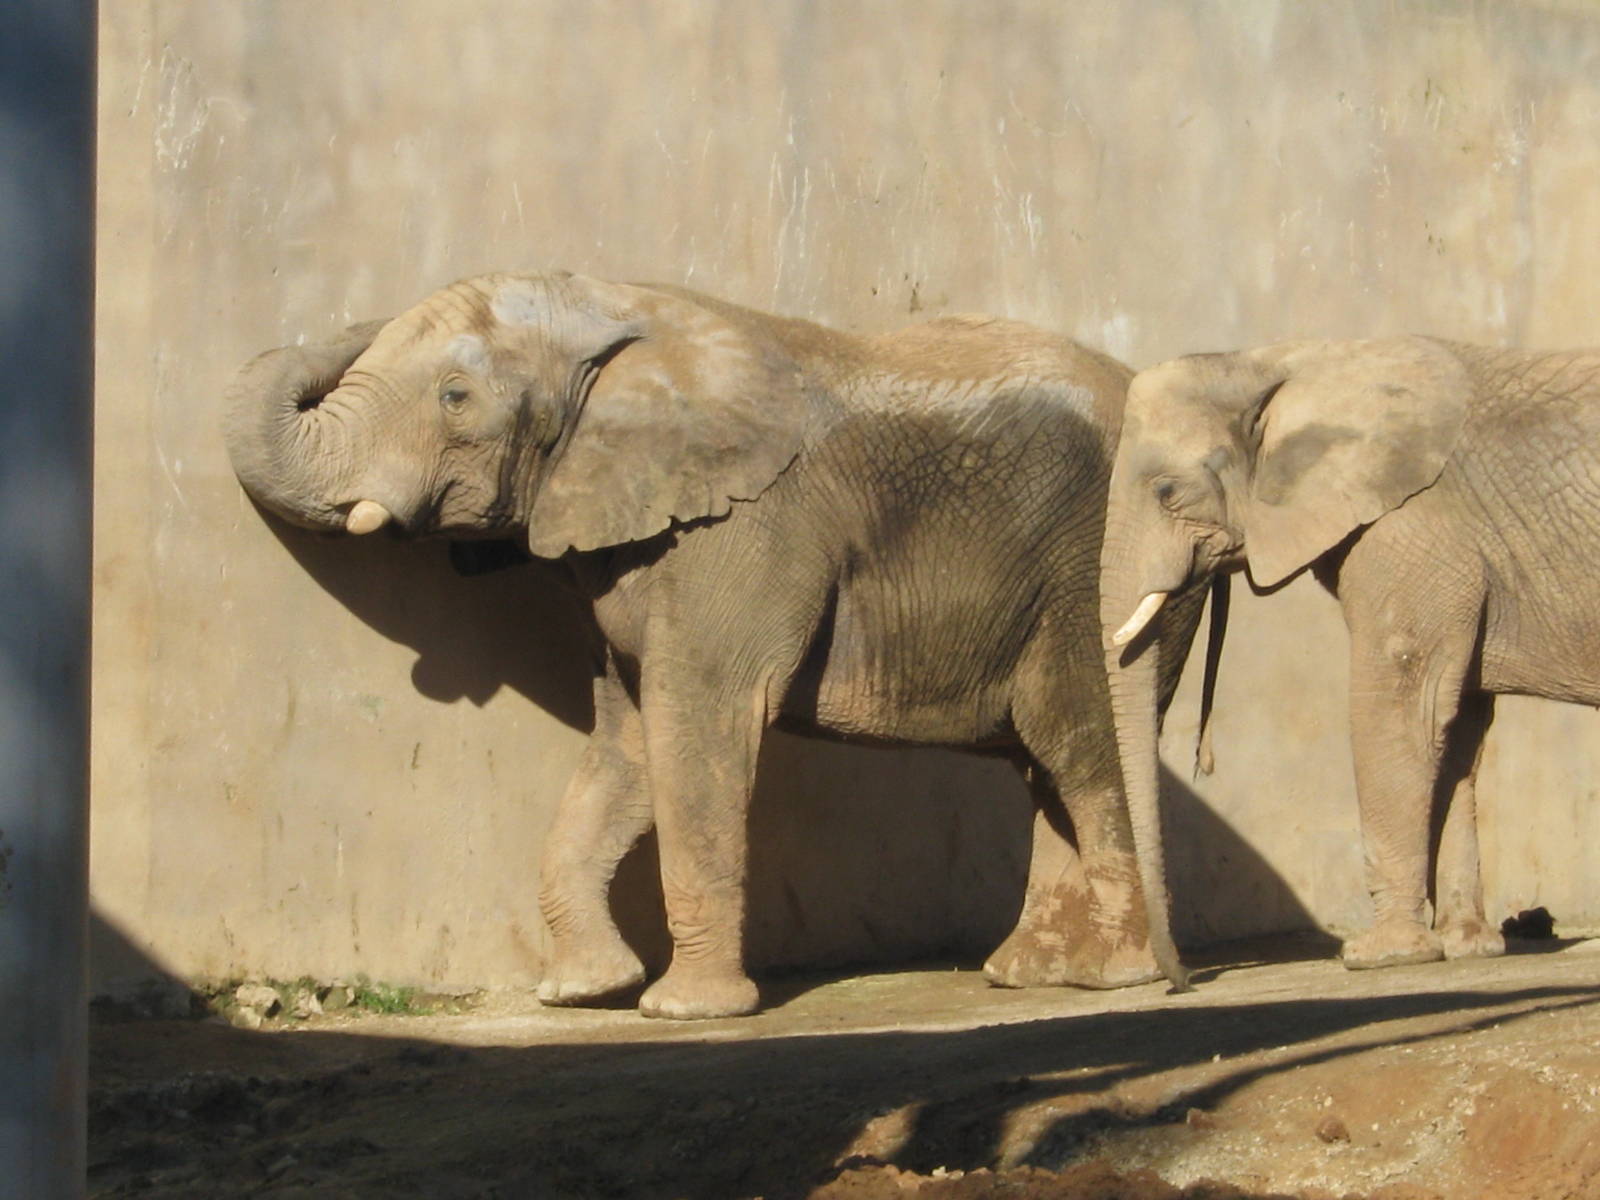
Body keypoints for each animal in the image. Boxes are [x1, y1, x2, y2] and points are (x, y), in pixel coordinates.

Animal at [224, 270, 1202, 1018]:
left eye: (455, 399)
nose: (351, 322)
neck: (616, 310)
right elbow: (627, 734)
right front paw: (583, 995)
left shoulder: (743, 532)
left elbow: (697, 718)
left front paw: (682, 1012)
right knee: (1047, 763)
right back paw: (1029, 975)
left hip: (1102, 576)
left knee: (1077, 742)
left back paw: (1114, 979)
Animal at [1101, 334, 1600, 974]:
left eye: (1166, 493)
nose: (1182, 980)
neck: (1274, 361)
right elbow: (1458, 724)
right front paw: (1467, 949)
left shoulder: (1411, 529)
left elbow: (1399, 705)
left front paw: (1379, 956)